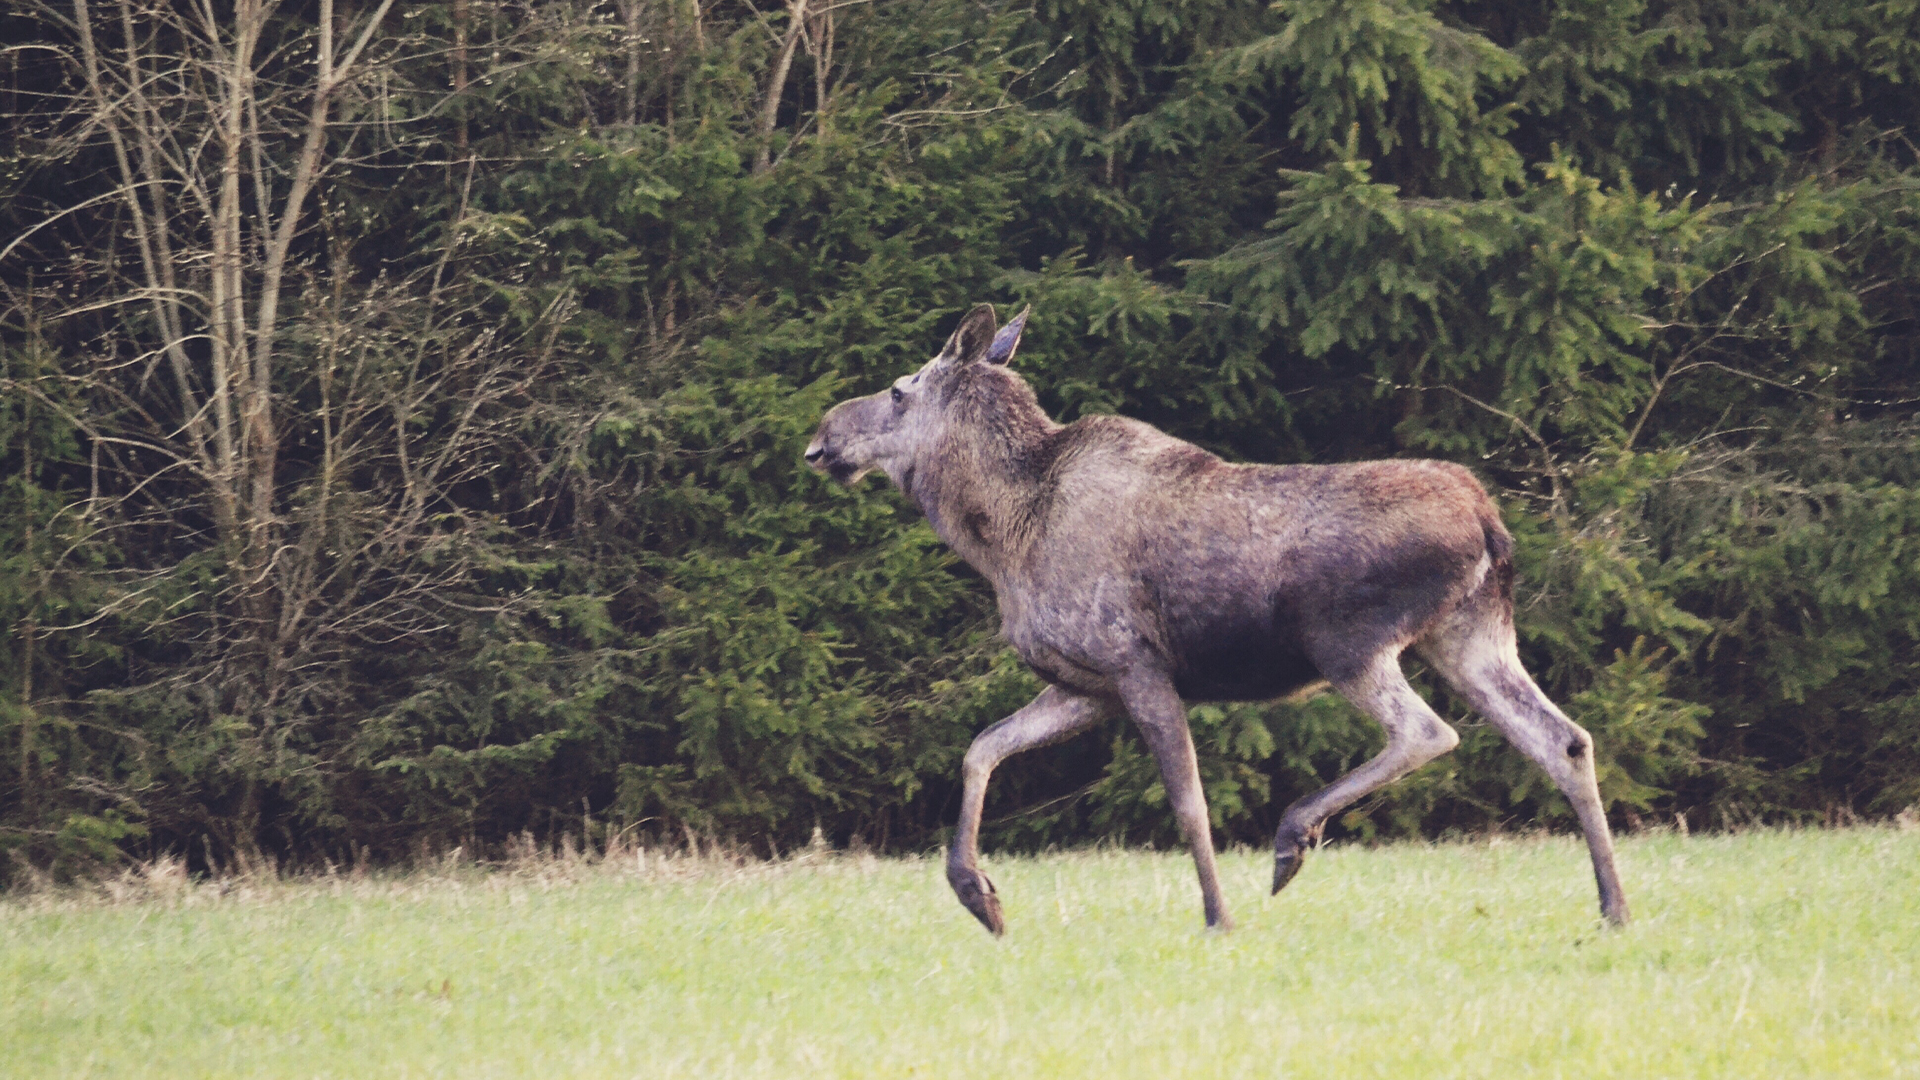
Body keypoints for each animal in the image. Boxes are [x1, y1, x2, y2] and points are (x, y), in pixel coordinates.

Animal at [802, 305, 1628, 933]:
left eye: (899, 390)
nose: (821, 439)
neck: (1001, 534)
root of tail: (1489, 520)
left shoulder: (1135, 665)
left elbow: (1188, 802)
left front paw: (1217, 916)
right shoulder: (1086, 686)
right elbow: (982, 749)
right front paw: (979, 895)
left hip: (1348, 640)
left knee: (1427, 732)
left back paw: (1294, 837)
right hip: (1465, 637)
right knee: (1564, 740)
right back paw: (1613, 907)